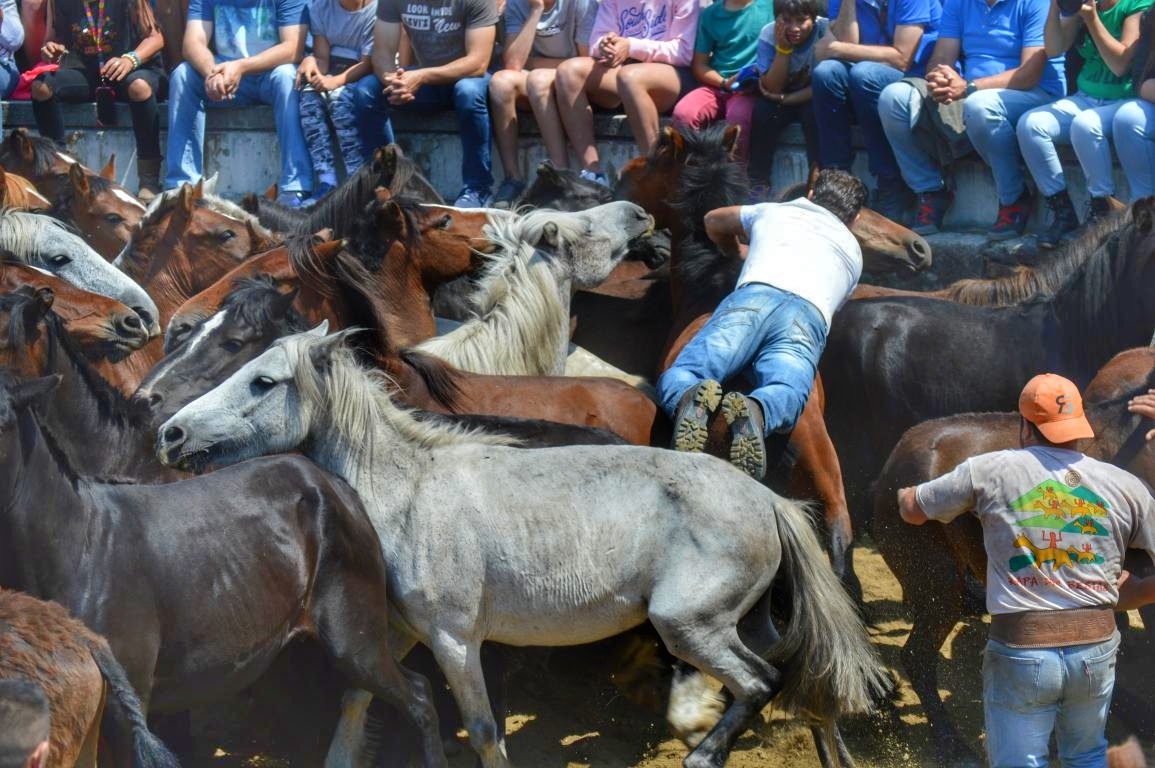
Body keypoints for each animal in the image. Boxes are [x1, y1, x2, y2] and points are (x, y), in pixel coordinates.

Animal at [158, 325, 887, 766]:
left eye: (263, 381)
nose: (169, 432)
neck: (408, 491)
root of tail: (768, 501)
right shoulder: (396, 632)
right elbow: (356, 700)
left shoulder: (455, 640)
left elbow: (482, 729)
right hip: (746, 620)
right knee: (803, 680)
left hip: (690, 626)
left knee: (760, 681)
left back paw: (704, 753)